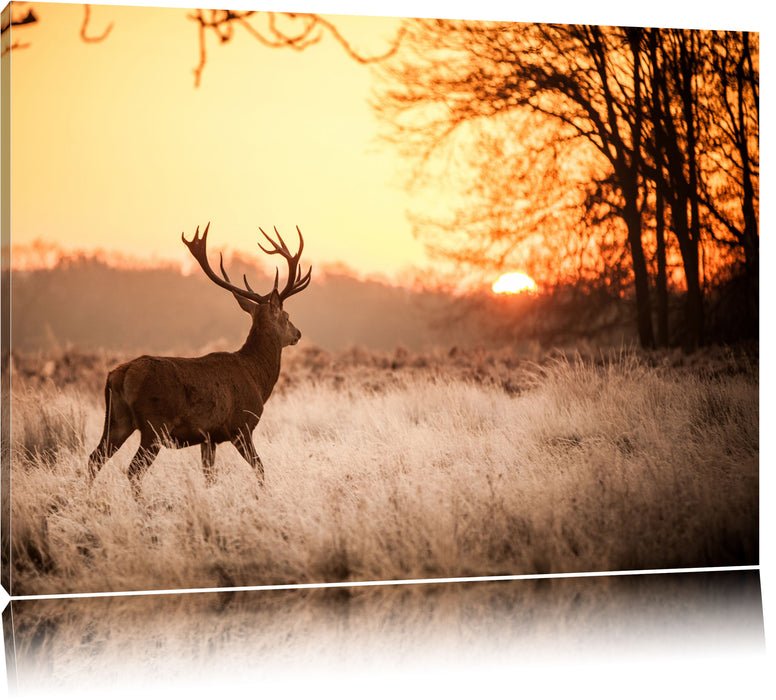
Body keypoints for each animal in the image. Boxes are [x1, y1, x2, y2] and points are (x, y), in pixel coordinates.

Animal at [87, 223, 311, 498]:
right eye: (286, 315)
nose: (298, 333)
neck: (257, 377)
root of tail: (120, 375)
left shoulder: (208, 437)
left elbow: (209, 477)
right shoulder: (241, 426)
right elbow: (260, 468)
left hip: (116, 420)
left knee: (94, 458)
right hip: (154, 425)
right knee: (133, 470)